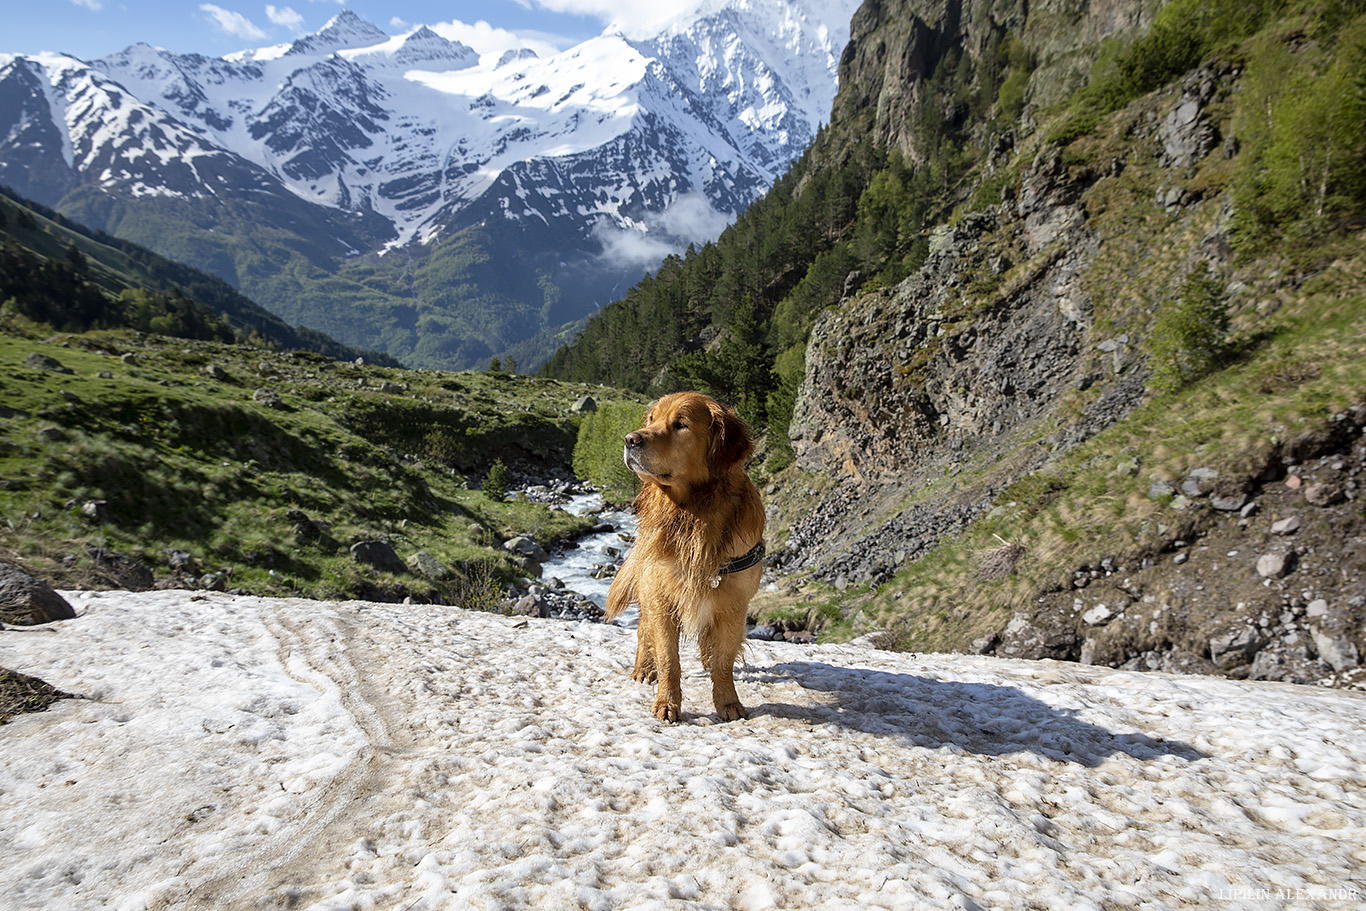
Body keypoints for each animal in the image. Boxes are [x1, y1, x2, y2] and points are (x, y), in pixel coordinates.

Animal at [603, 396, 764, 721]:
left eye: (681, 424)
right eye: (651, 419)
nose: (630, 439)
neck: (693, 513)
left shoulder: (733, 605)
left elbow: (723, 660)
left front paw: (728, 702)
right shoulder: (661, 599)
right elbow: (669, 660)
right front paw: (667, 703)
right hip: (647, 593)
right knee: (643, 630)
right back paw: (643, 668)